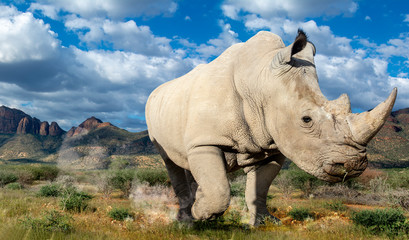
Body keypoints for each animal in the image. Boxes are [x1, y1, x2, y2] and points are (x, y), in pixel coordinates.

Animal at [144, 29, 396, 225]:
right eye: (306, 119)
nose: (353, 165)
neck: (260, 82)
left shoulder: (273, 147)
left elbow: (260, 188)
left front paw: (264, 222)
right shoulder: (206, 140)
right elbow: (220, 190)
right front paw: (201, 214)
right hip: (154, 116)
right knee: (171, 162)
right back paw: (187, 219)